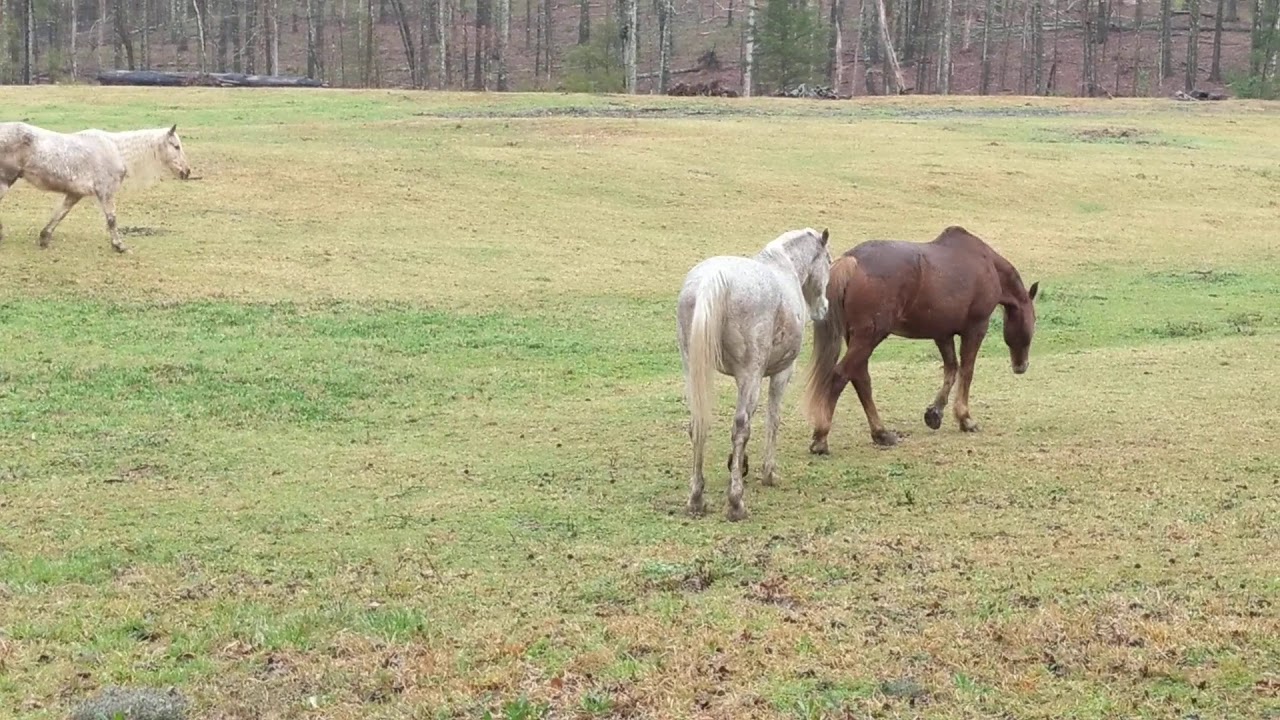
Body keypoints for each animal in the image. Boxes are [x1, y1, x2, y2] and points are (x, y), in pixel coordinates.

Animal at [0, 121, 192, 254]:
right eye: (176, 146)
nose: (187, 171)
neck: (116, 150)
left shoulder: (74, 194)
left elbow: (60, 213)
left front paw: (44, 238)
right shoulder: (106, 192)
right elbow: (111, 219)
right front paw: (119, 246)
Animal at [676, 227, 832, 521]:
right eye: (829, 261)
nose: (824, 308)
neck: (784, 265)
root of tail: (712, 280)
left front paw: (739, 465)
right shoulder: (779, 374)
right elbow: (772, 419)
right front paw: (767, 473)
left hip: (694, 370)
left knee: (698, 424)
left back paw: (696, 498)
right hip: (750, 374)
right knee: (740, 427)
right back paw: (736, 503)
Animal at [802, 225, 1038, 452]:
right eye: (1033, 320)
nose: (1022, 366)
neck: (987, 264)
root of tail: (851, 260)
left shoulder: (942, 334)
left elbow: (951, 370)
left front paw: (935, 413)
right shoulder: (975, 329)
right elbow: (966, 371)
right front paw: (965, 418)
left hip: (858, 338)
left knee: (861, 379)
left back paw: (881, 433)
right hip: (869, 337)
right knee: (840, 376)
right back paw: (821, 438)